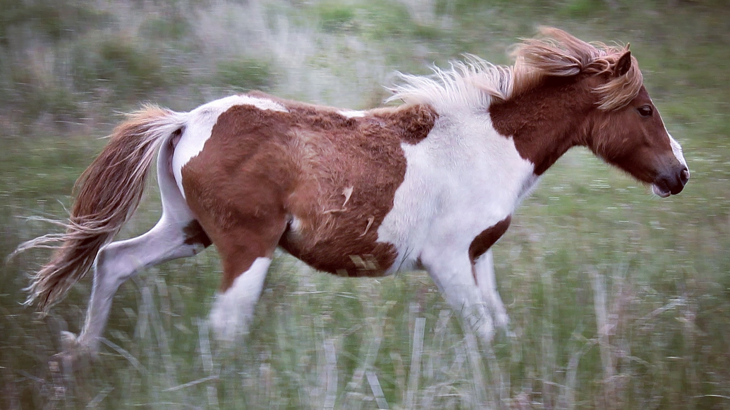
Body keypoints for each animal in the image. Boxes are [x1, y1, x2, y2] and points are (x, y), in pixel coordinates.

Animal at [16, 27, 689, 356]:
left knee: (111, 260)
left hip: (187, 230)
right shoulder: (447, 260)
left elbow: (498, 329)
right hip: (245, 247)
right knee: (224, 325)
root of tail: (186, 120)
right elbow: (482, 328)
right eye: (645, 109)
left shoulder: (479, 258)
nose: (679, 174)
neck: (487, 143)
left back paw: (81, 353)